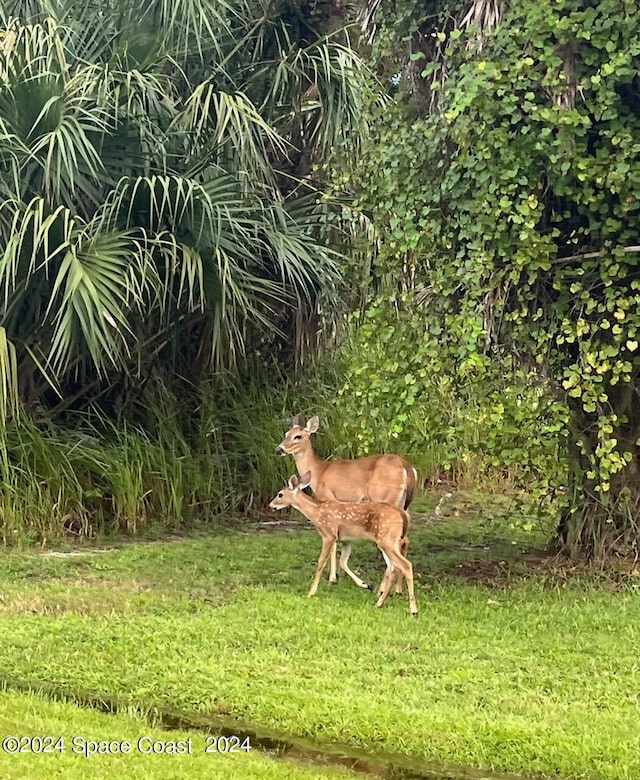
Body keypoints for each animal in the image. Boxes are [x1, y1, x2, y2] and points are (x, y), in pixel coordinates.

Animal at [268, 472, 418, 620]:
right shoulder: (347, 540)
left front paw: (311, 592)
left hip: (387, 539)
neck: (316, 512)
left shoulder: (329, 534)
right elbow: (343, 562)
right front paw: (365, 584)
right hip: (386, 541)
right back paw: (379, 603)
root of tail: (402, 515)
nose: (270, 505)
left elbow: (321, 562)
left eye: (280, 494)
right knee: (393, 567)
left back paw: (413, 610)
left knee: (405, 565)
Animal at [276, 412, 420, 588]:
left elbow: (333, 544)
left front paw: (332, 577)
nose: (279, 449)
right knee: (405, 539)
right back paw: (397, 587)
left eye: (298, 436)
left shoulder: (329, 498)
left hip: (385, 498)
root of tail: (408, 468)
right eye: (286, 434)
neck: (318, 472)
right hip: (404, 504)